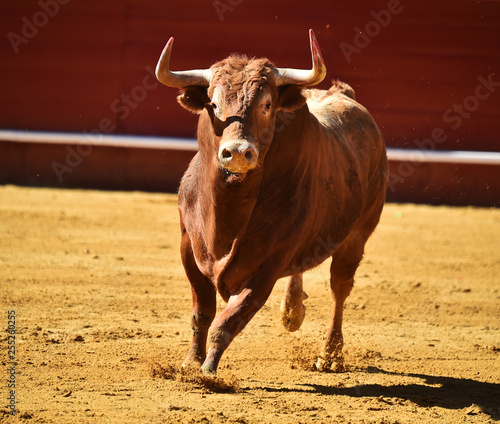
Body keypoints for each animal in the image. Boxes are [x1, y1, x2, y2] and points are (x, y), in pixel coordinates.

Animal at [155, 29, 386, 374]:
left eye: (267, 105)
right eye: (213, 103)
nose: (238, 152)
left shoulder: (269, 263)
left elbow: (229, 320)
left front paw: (208, 371)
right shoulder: (188, 247)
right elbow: (202, 313)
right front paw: (190, 363)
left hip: (357, 235)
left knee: (340, 287)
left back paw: (330, 354)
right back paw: (292, 311)